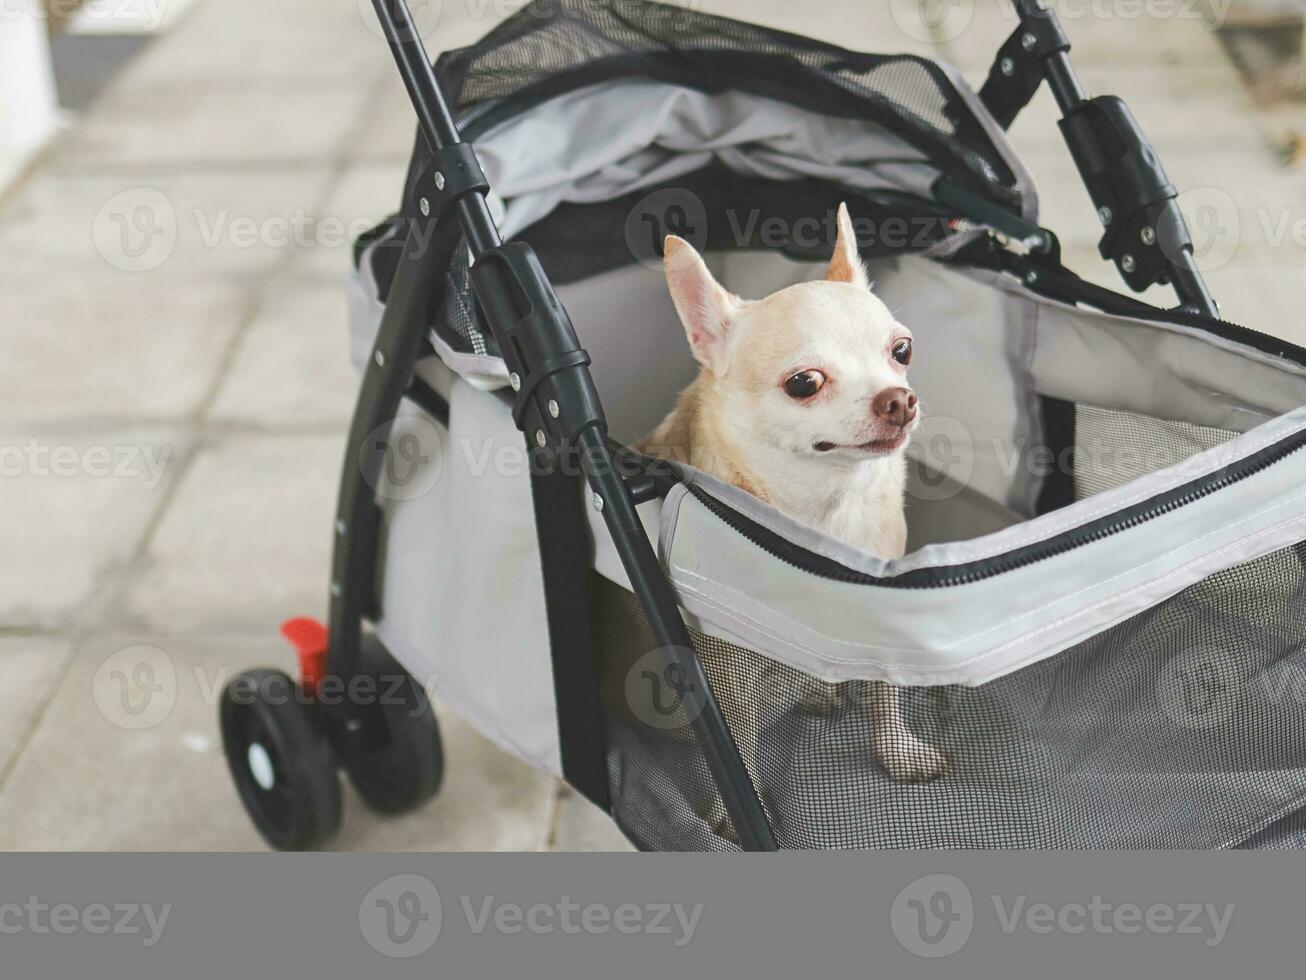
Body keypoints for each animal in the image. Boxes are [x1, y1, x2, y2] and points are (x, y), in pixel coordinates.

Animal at [637, 203, 945, 789]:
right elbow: (742, 747)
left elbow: (886, 692)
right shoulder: (728, 671)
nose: (900, 398)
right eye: (804, 383)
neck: (826, 508)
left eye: (903, 350)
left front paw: (897, 752)